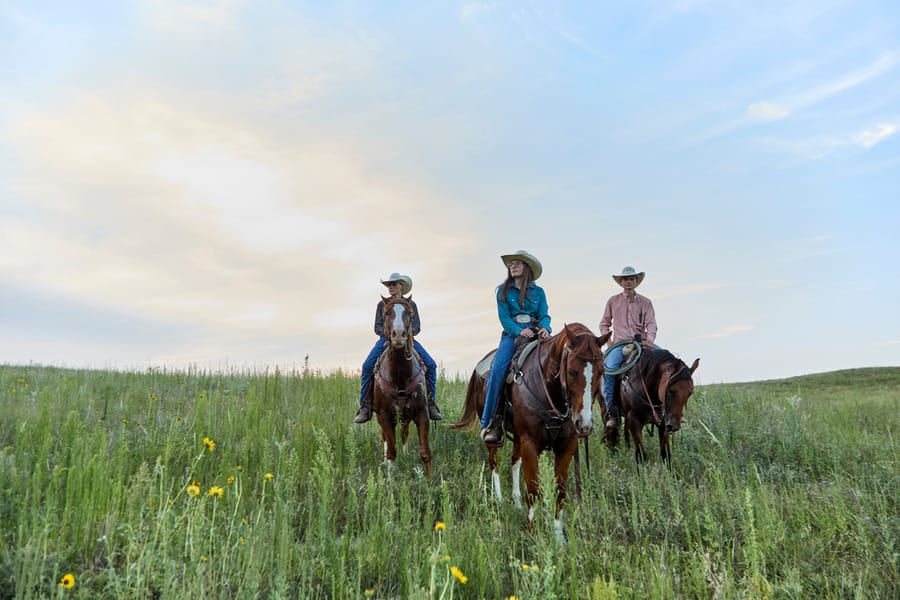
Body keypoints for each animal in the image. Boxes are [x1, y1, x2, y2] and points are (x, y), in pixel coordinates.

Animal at [370, 298, 432, 476]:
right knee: (386, 439)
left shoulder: (422, 413)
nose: (398, 334)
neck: (400, 373)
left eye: (410, 314)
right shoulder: (384, 416)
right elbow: (391, 452)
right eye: (386, 313)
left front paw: (430, 480)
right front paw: (389, 479)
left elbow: (425, 452)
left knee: (404, 433)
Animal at [450, 326, 612, 536]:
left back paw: (517, 502)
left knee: (514, 462)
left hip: (519, 438)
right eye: (572, 371)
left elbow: (560, 491)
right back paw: (500, 500)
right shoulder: (530, 444)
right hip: (494, 437)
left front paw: (558, 535)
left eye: (601, 371)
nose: (584, 424)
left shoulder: (567, 446)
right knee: (494, 462)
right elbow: (533, 489)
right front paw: (534, 532)